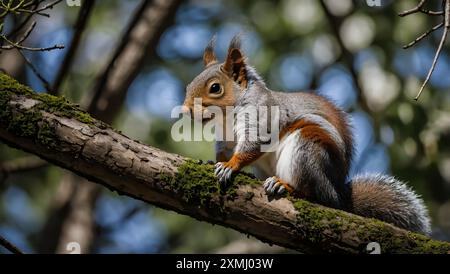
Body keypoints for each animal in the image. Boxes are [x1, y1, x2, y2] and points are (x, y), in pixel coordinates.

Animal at [181, 35, 430, 234]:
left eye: (215, 88)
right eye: (188, 86)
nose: (186, 110)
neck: (225, 117)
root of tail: (336, 195)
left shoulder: (260, 119)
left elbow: (252, 146)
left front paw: (230, 165)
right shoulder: (225, 139)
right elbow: (223, 150)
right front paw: (215, 162)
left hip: (307, 150)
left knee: (311, 193)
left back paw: (285, 185)